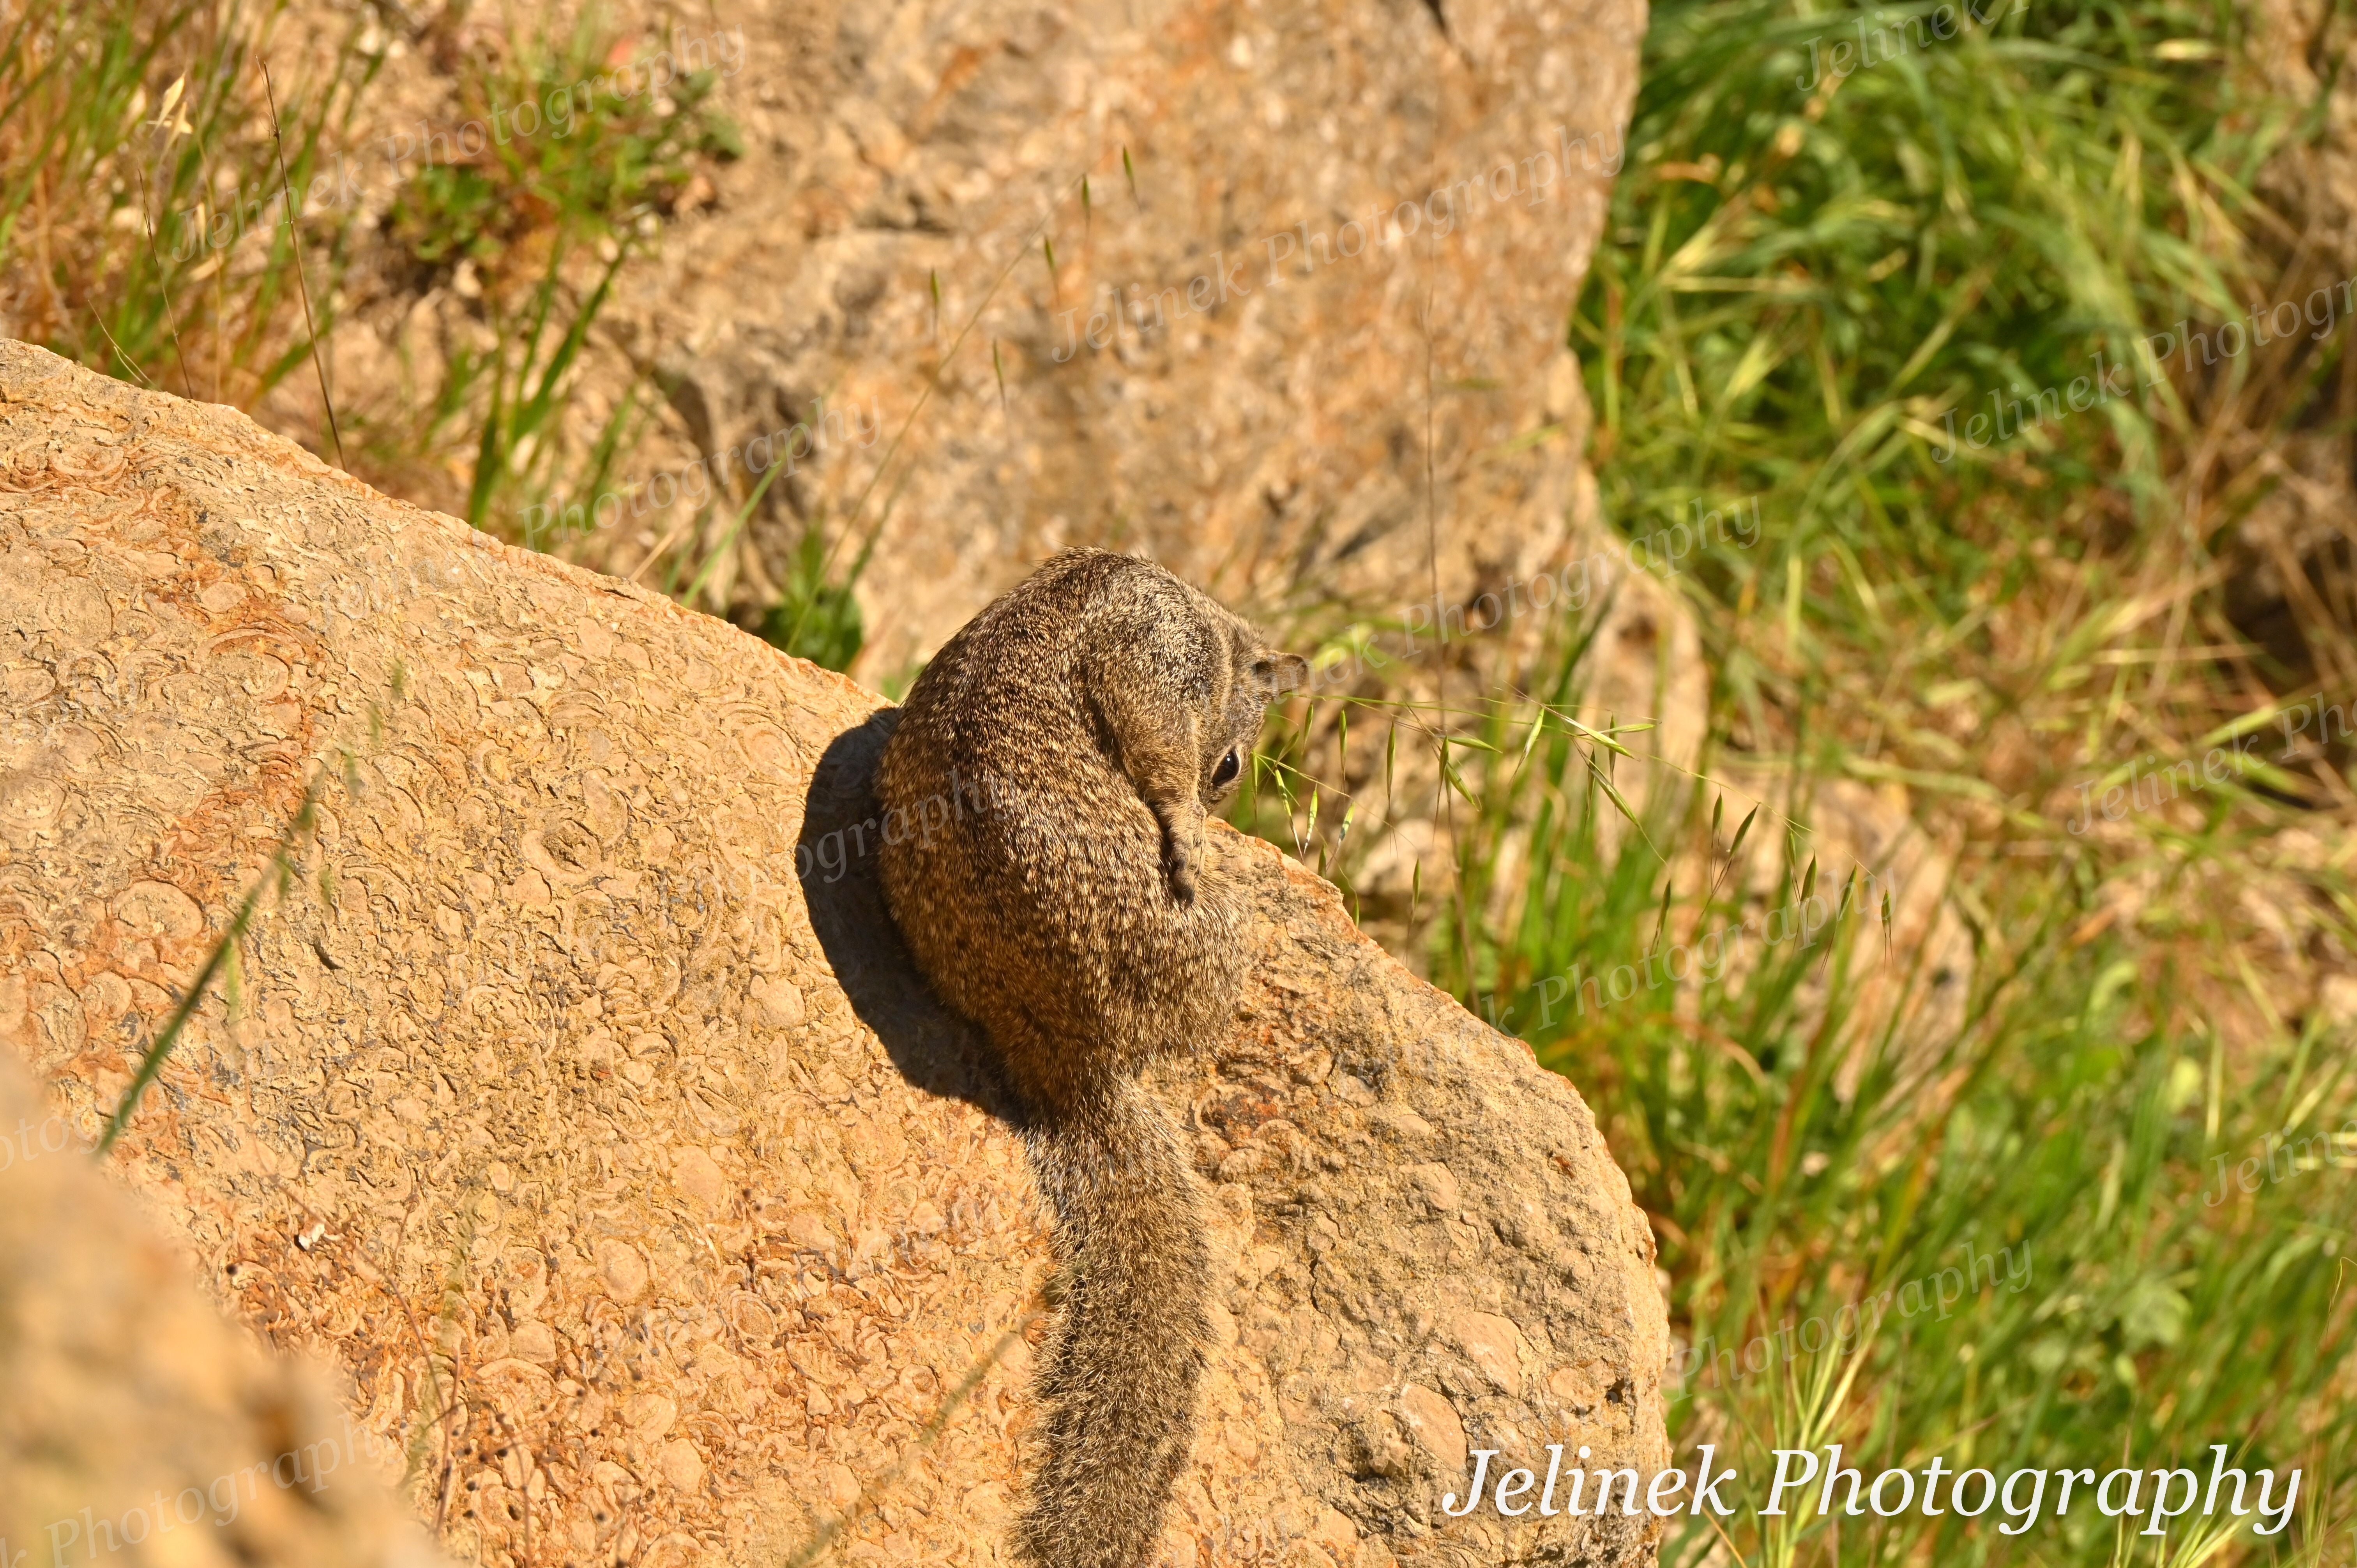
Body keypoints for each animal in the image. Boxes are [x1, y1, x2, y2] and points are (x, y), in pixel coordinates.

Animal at [874, 548, 1306, 1568]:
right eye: (1231, 764)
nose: (1221, 798)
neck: (1199, 609)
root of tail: (1069, 1063)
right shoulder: (1155, 652)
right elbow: (1151, 736)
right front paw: (1187, 821)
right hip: (1214, 945)